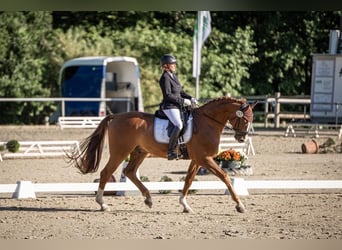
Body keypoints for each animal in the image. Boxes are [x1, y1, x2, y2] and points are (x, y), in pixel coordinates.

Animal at [66, 96, 254, 214]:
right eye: (245, 119)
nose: (241, 138)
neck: (207, 122)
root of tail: (117, 116)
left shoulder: (197, 159)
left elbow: (188, 180)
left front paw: (185, 205)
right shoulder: (204, 158)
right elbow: (225, 177)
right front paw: (240, 206)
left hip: (139, 152)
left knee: (130, 172)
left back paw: (148, 199)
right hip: (121, 152)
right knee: (106, 173)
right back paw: (102, 204)